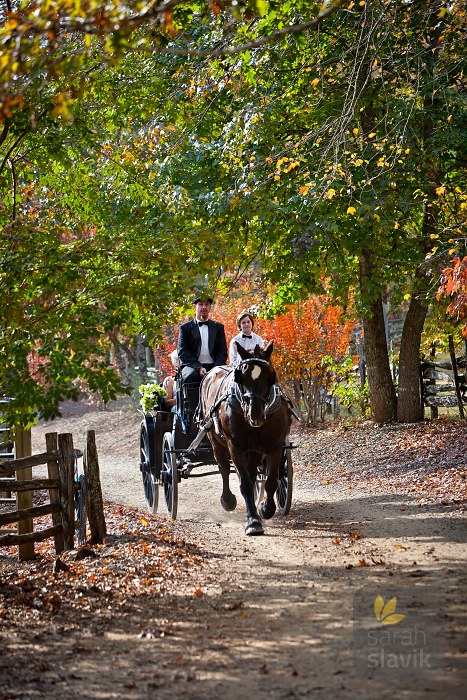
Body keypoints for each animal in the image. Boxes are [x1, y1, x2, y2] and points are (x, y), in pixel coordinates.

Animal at [200, 340, 292, 536]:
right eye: (241, 377)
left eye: (270, 376)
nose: (254, 413)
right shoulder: (235, 446)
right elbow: (245, 484)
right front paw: (253, 521)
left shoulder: (275, 445)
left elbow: (271, 481)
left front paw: (265, 508)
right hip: (215, 440)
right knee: (224, 468)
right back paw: (227, 500)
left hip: (255, 449)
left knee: (252, 472)